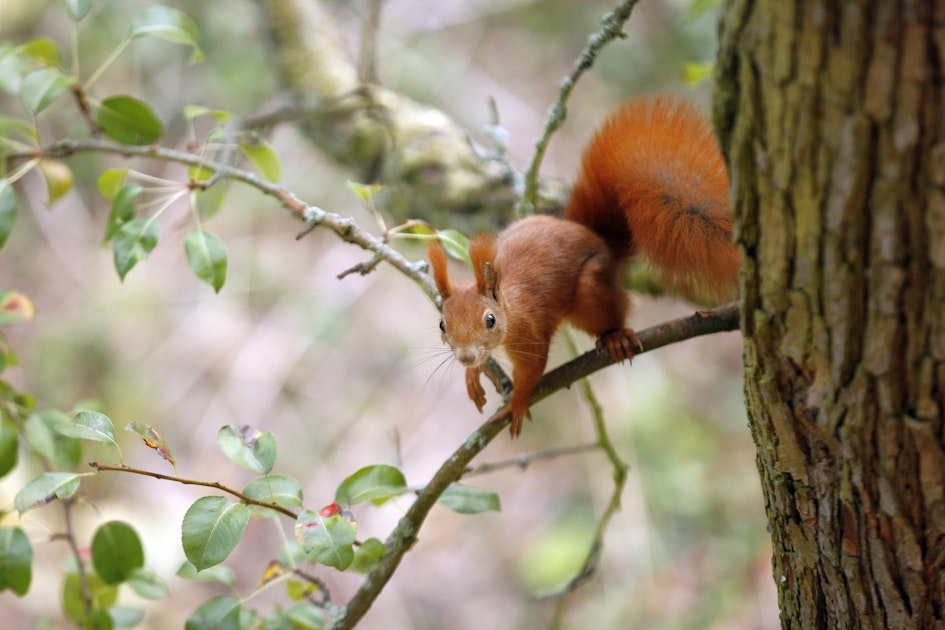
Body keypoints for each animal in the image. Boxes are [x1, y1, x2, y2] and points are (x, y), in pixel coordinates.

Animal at [428, 97, 736, 440]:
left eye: (490, 320)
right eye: (442, 324)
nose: (466, 356)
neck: (509, 307)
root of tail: (595, 236)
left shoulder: (530, 334)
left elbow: (533, 369)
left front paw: (517, 403)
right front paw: (472, 375)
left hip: (590, 289)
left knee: (612, 311)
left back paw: (615, 336)